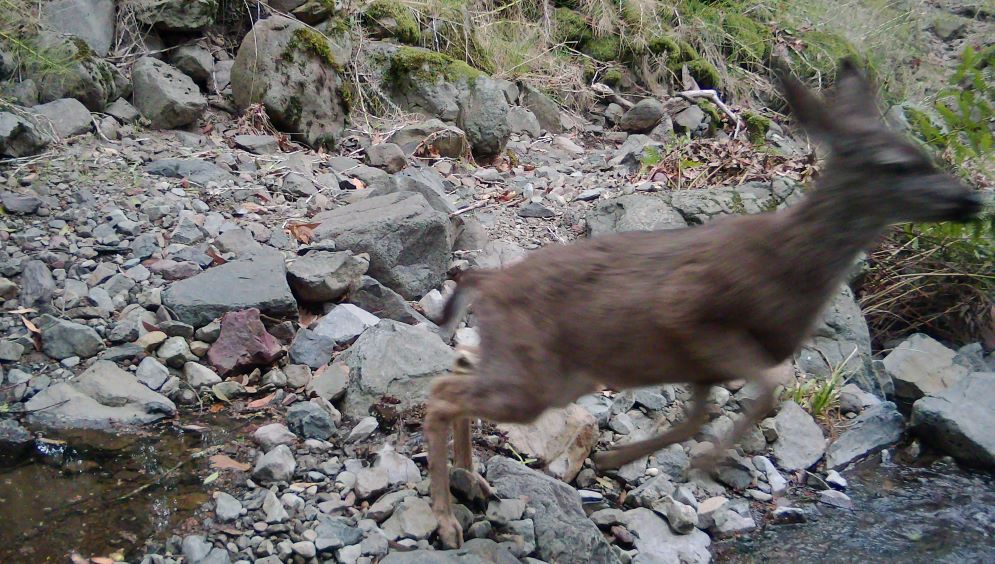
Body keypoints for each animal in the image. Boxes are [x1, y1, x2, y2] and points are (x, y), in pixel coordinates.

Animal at [423, 58, 983, 549]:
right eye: (898, 165)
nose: (971, 201)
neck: (789, 265)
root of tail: (488, 282)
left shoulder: (699, 365)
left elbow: (701, 415)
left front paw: (623, 459)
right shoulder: (691, 314)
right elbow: (767, 390)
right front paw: (701, 461)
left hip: (539, 368)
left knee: (457, 367)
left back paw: (473, 480)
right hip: (539, 375)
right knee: (442, 393)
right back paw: (447, 521)